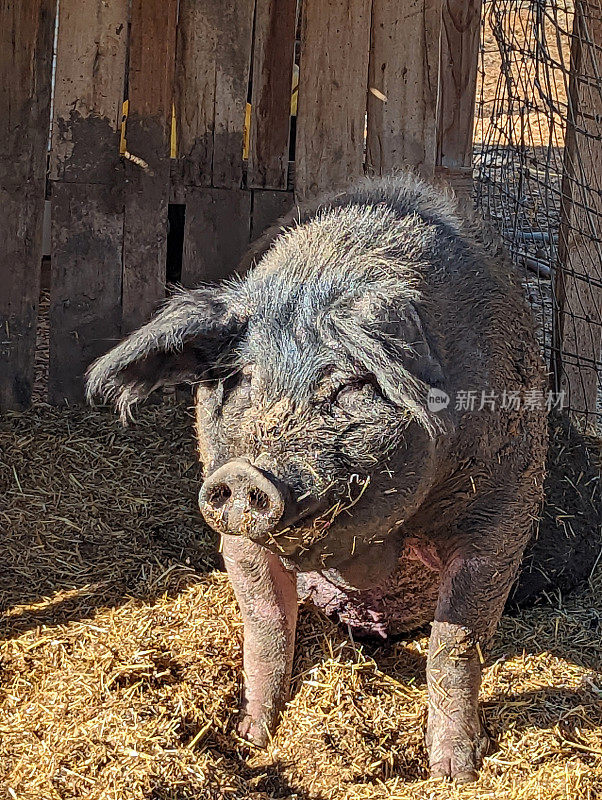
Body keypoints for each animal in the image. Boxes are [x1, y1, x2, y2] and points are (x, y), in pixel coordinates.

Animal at [85, 173, 548, 780]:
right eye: (242, 378)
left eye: (349, 385)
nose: (245, 475)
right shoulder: (234, 531)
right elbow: (265, 626)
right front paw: (252, 738)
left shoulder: (504, 511)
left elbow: (454, 645)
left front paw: (455, 773)